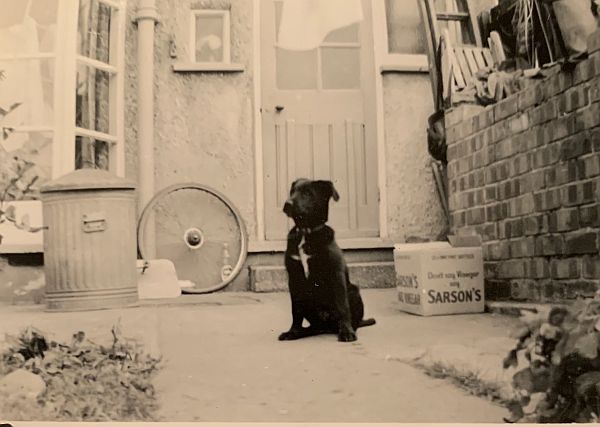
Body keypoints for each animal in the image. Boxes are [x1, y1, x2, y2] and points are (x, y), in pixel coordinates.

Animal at [278, 179, 372, 342]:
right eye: (292, 191)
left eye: (308, 193)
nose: (287, 204)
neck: (306, 232)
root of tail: (327, 326)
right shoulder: (294, 278)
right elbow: (296, 310)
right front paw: (293, 332)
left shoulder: (335, 273)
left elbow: (342, 306)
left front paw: (346, 332)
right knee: (314, 326)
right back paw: (303, 332)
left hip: (354, 291)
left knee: (351, 319)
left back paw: (349, 329)